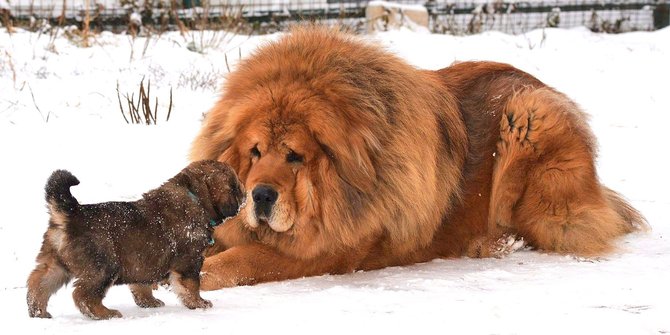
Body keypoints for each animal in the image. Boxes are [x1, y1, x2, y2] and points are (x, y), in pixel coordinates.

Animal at [27, 161, 247, 322]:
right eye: (236, 186)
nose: (246, 195)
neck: (195, 198)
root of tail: (70, 213)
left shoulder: (144, 261)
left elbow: (142, 286)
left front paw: (149, 302)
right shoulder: (190, 261)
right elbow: (191, 285)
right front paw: (199, 304)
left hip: (55, 264)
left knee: (38, 284)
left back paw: (38, 313)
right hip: (104, 267)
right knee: (83, 295)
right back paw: (105, 314)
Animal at [190, 26, 652, 292]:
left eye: (295, 156)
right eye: (255, 152)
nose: (260, 196)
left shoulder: (327, 250)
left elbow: (240, 259)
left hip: (530, 117)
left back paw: (494, 242)